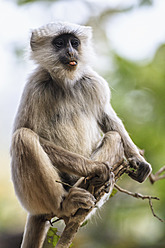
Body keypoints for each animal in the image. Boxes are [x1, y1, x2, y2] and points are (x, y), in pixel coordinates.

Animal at [10, 22, 152, 247]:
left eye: (74, 42)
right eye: (60, 43)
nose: (70, 52)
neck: (65, 83)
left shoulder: (93, 81)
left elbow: (108, 119)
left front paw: (138, 161)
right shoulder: (36, 85)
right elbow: (22, 132)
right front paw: (94, 167)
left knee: (114, 137)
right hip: (34, 198)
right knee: (23, 137)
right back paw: (66, 205)